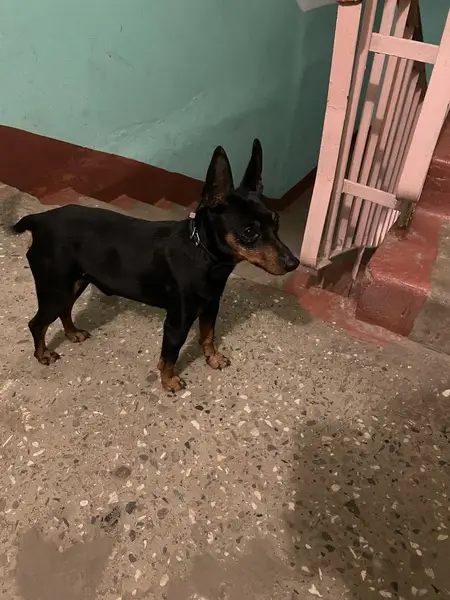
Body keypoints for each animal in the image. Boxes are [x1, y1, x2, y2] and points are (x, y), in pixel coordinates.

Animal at [13, 140, 299, 392]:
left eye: (276, 222)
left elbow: (208, 336)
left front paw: (213, 358)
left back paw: (72, 333)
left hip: (74, 283)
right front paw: (168, 380)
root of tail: (39, 220)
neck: (203, 254)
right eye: (249, 232)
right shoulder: (177, 322)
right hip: (55, 288)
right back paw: (43, 354)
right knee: (37, 323)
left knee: (65, 310)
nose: (293, 263)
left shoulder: (210, 308)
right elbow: (170, 354)